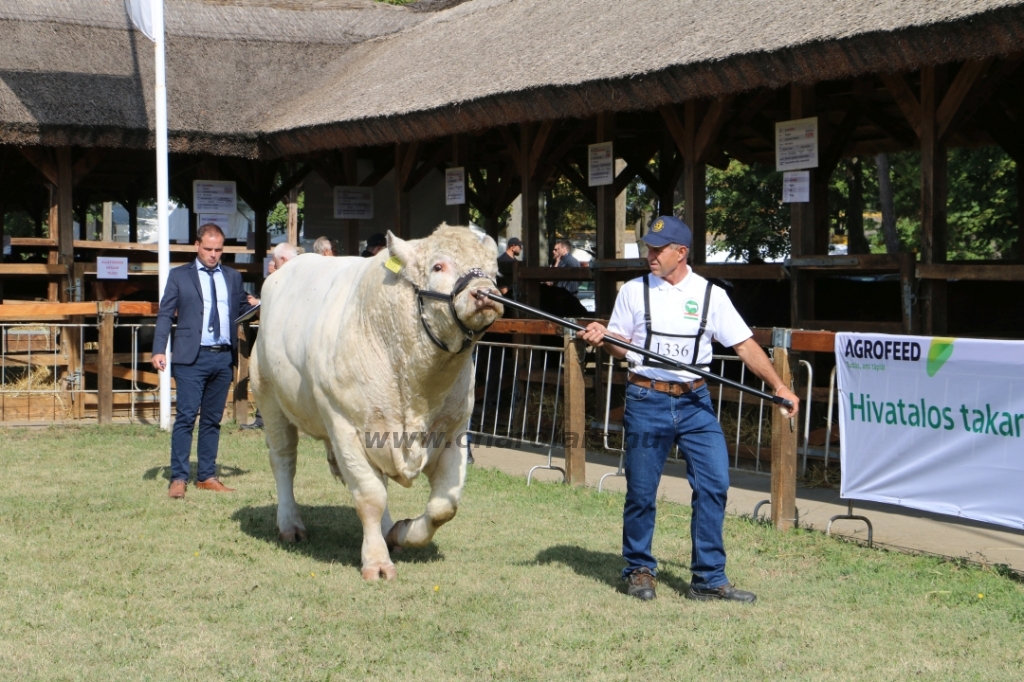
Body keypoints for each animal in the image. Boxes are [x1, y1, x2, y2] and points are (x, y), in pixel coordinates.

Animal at [249, 225, 501, 577]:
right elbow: (370, 496)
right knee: (284, 460)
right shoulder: (345, 425)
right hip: (269, 396)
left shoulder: (454, 431)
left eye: (494, 271)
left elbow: (443, 507)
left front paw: (401, 532)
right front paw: (377, 561)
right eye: (438, 266)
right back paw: (290, 525)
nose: (484, 293)